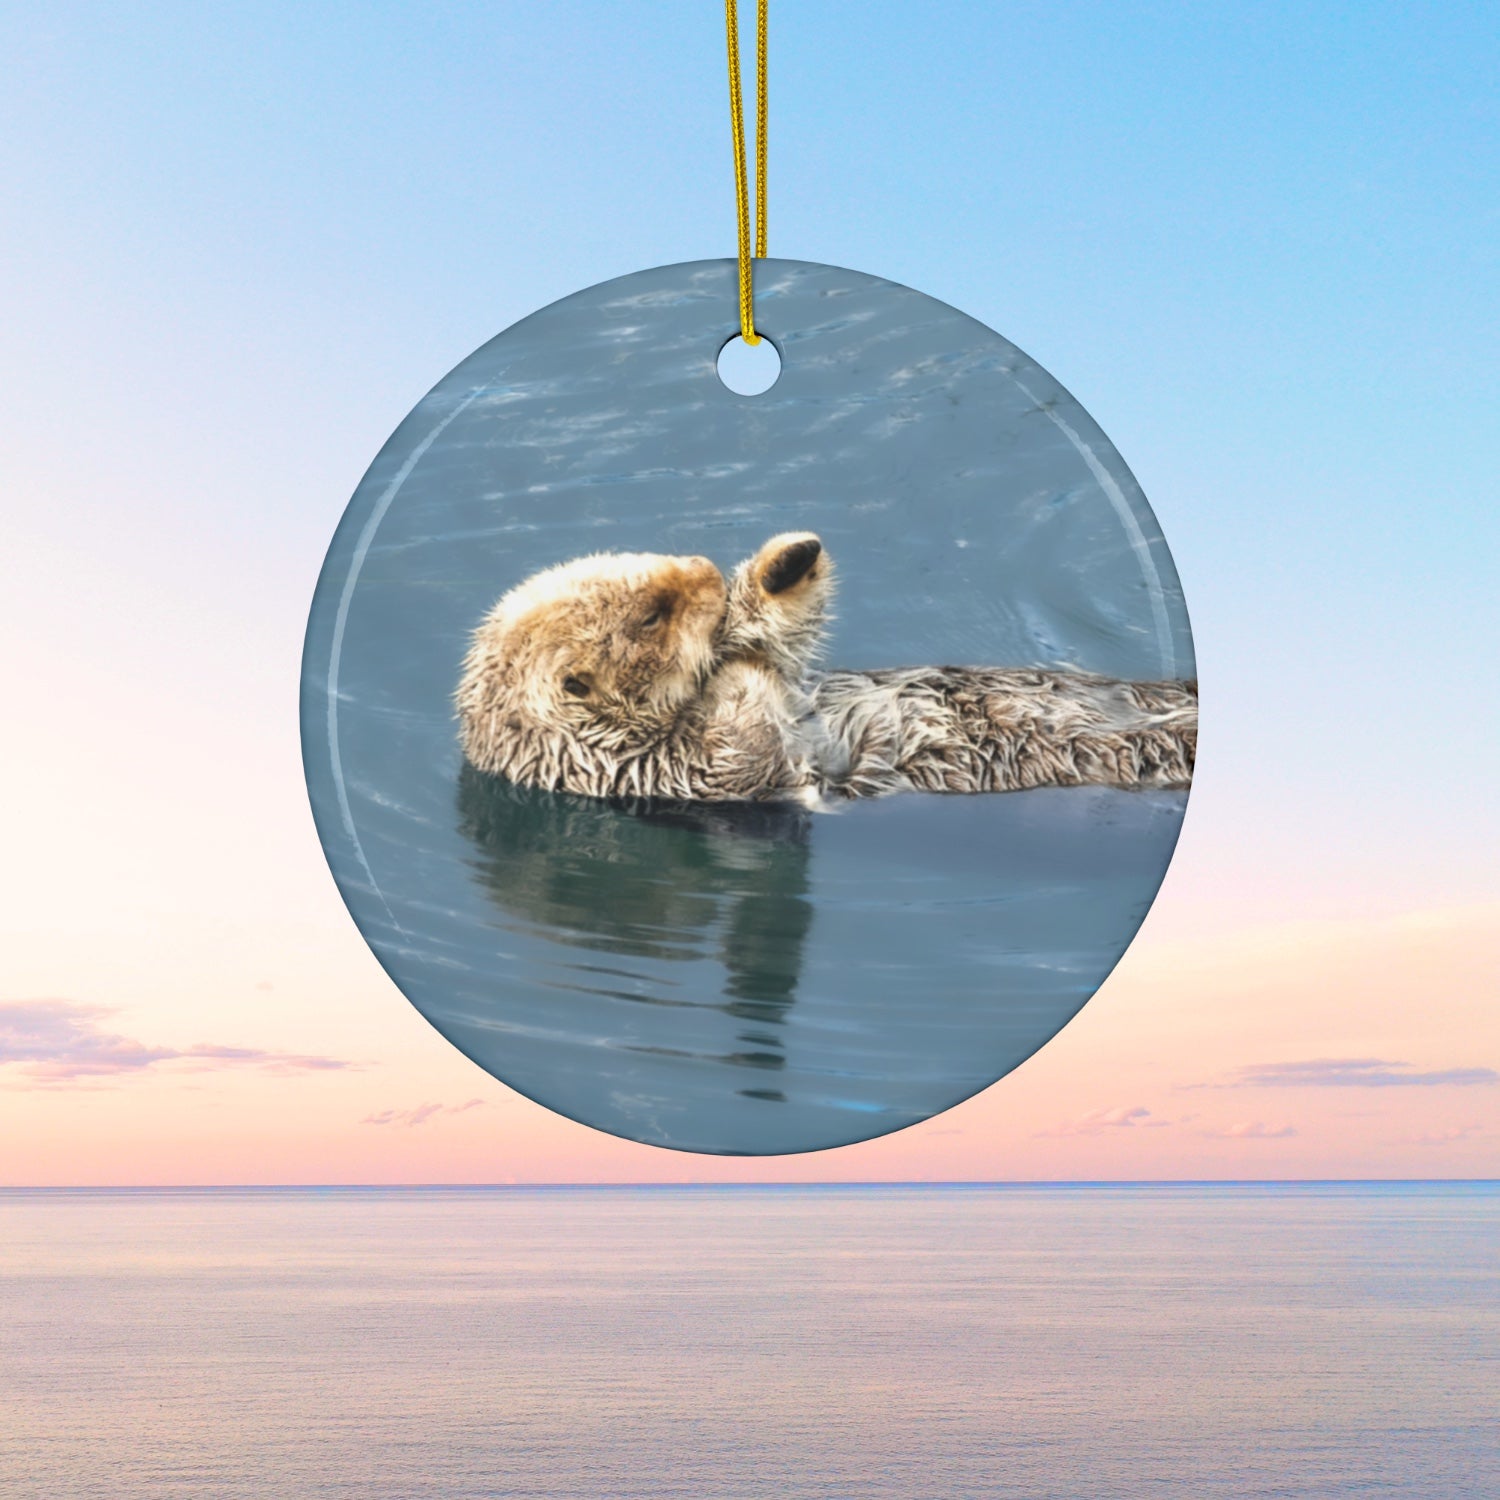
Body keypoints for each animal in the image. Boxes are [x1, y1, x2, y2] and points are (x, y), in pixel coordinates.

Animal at [455, 533, 1196, 803]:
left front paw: (783, 567)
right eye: (652, 616)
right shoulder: (664, 772)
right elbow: (743, 747)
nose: (704, 570)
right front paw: (733, 664)